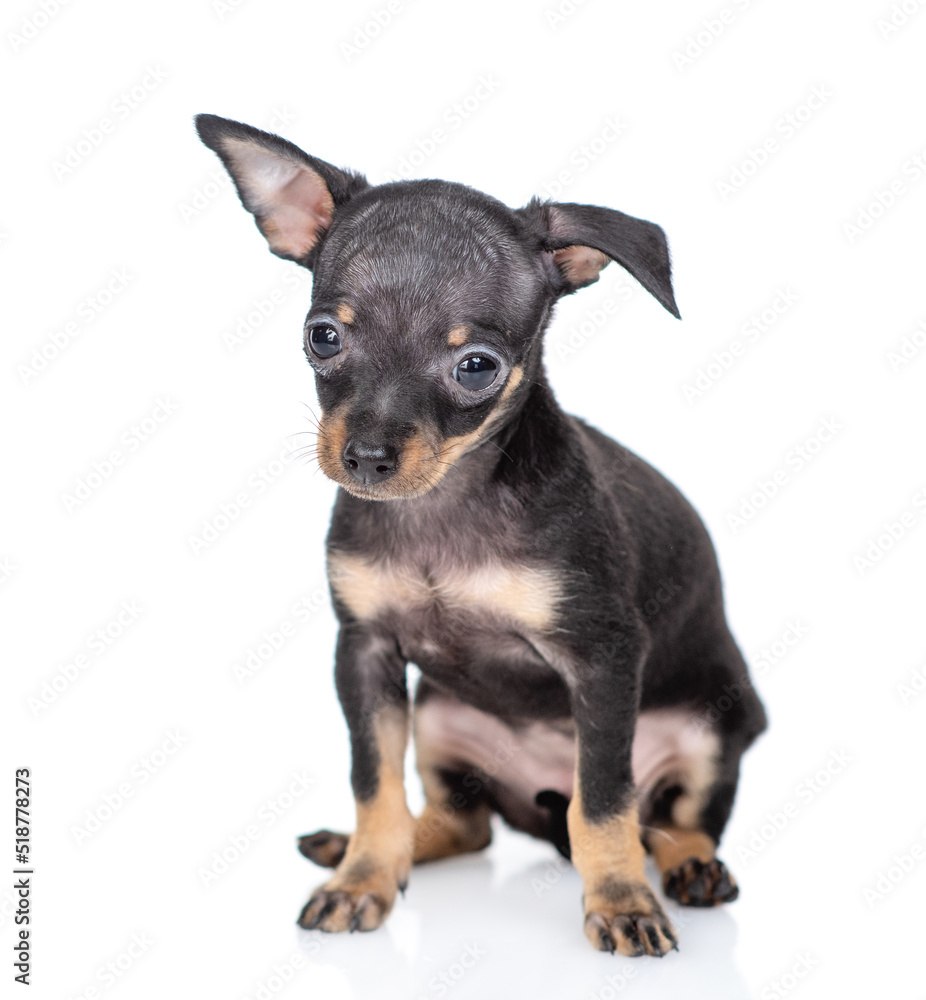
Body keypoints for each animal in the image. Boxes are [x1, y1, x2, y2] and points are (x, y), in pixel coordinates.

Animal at [198, 113, 768, 956]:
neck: (445, 505)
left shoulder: (603, 659)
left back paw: (688, 868)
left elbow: (605, 801)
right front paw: (363, 878)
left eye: (476, 366)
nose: (366, 456)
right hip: (438, 720)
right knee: (463, 826)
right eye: (323, 337)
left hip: (713, 731)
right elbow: (373, 781)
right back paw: (373, 848)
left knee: (670, 822)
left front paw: (622, 901)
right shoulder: (364, 650)